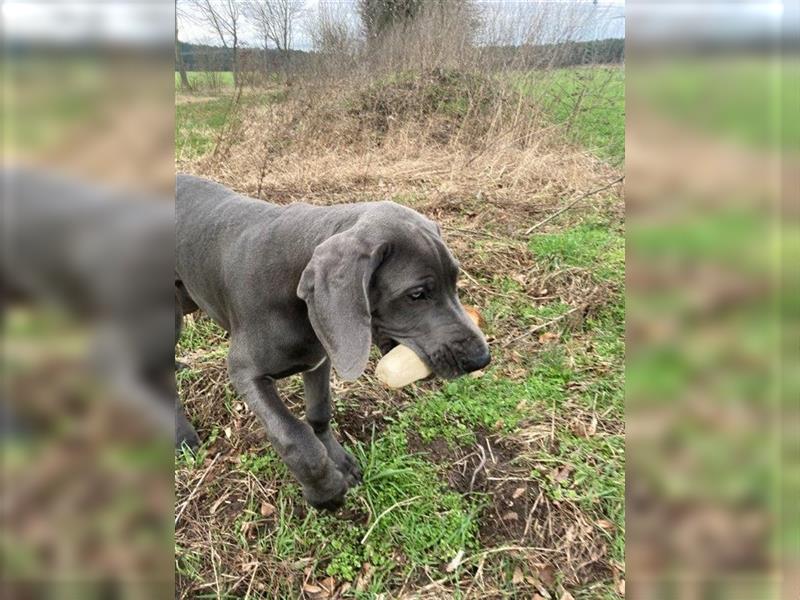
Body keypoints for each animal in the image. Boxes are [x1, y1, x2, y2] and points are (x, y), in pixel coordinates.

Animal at [177, 175, 488, 510]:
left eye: (455, 281)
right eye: (416, 294)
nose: (481, 358)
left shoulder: (319, 358)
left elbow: (319, 411)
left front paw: (338, 459)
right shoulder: (245, 371)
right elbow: (293, 435)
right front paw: (324, 491)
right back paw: (183, 436)